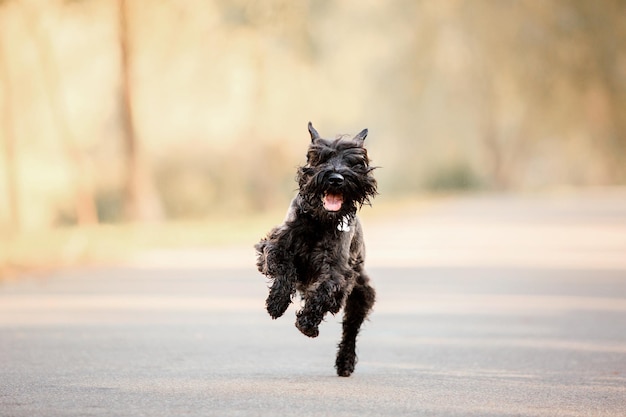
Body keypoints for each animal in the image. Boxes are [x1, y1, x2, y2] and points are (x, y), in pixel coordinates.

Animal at [254, 121, 376, 376]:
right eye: (320, 157)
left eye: (355, 160)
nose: (336, 178)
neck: (321, 221)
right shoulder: (274, 246)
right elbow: (284, 270)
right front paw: (276, 303)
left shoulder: (338, 271)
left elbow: (323, 291)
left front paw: (307, 323)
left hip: (361, 294)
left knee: (350, 329)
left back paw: (345, 362)